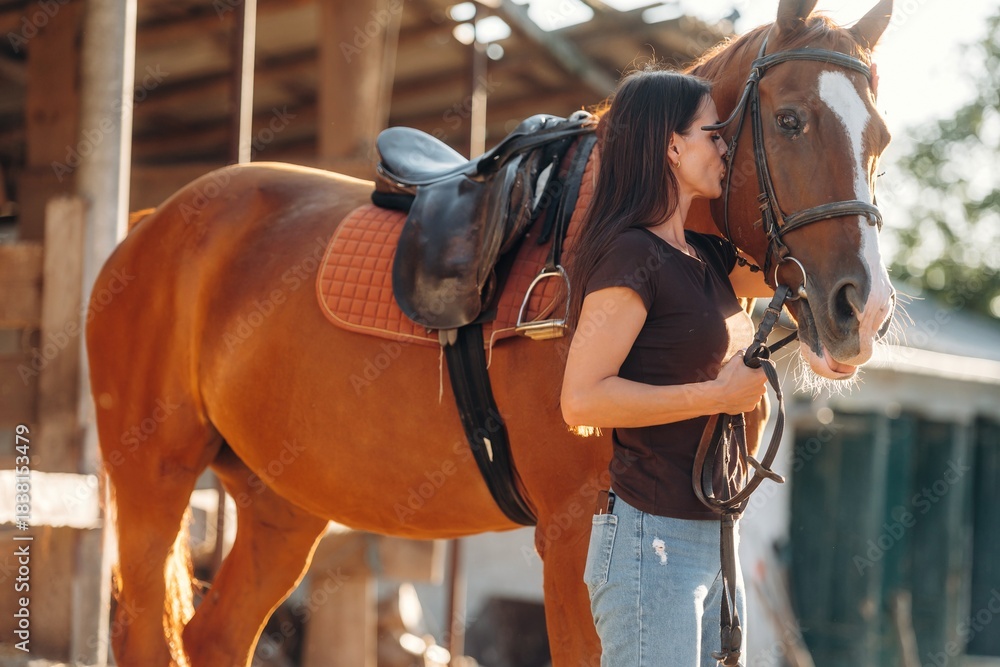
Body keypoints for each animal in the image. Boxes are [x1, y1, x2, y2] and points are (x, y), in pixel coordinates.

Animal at [86, 0, 895, 664]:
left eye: (880, 139)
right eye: (790, 119)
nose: (864, 310)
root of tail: (153, 223)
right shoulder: (573, 535)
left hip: (278, 505)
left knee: (214, 638)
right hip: (154, 477)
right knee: (145, 632)